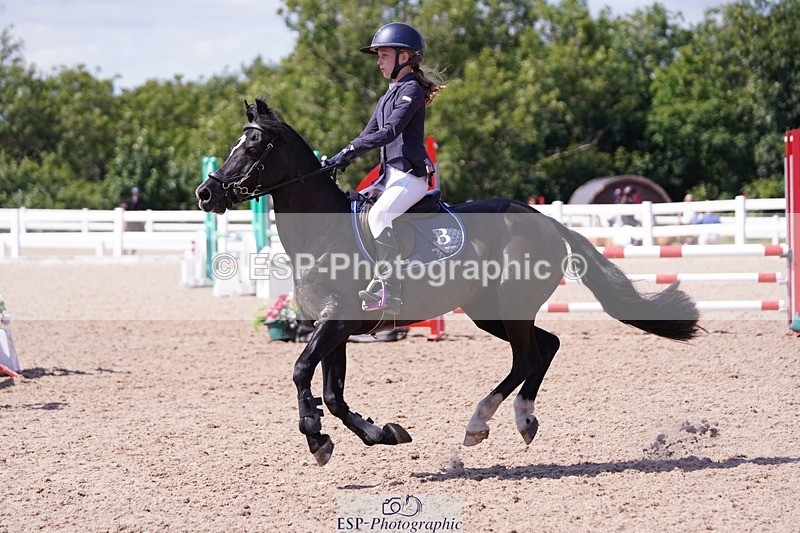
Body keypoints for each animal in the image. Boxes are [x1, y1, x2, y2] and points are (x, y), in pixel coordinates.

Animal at [196, 98, 701, 466]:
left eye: (254, 146)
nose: (206, 192)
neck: (323, 233)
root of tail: (542, 219)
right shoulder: (333, 327)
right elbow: (334, 395)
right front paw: (382, 433)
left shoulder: (337, 323)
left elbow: (302, 372)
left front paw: (315, 438)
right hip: (489, 311)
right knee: (547, 346)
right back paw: (524, 418)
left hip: (511, 306)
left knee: (527, 355)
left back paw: (480, 422)